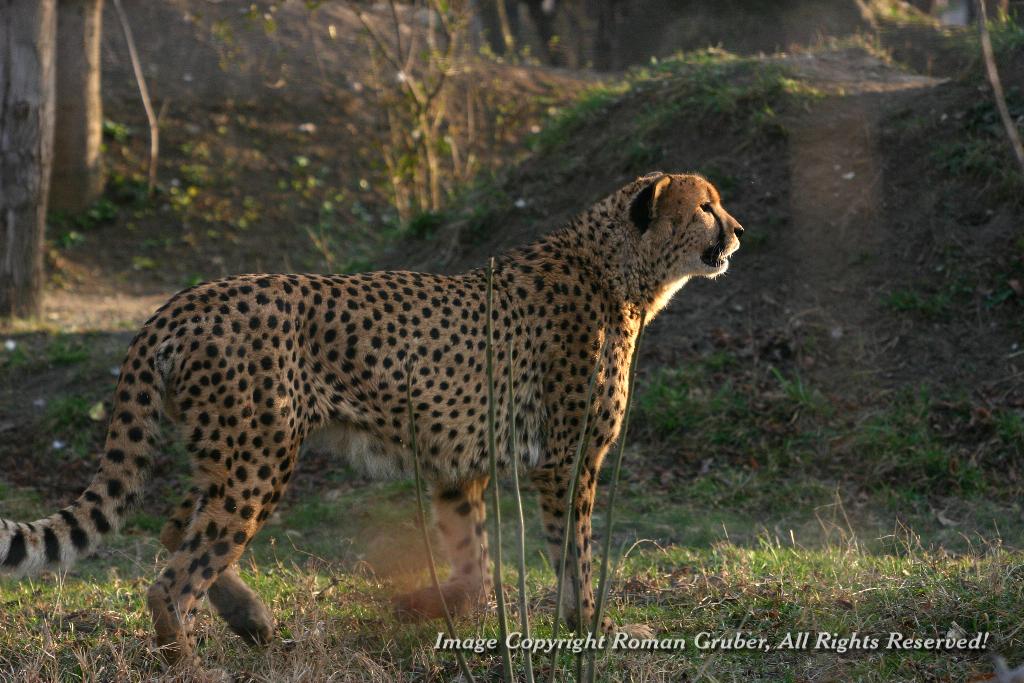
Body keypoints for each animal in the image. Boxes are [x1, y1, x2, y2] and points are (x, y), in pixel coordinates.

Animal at [0, 171, 745, 667]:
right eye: (706, 205)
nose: (738, 231)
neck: (617, 267)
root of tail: (185, 299)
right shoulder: (568, 461)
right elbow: (576, 552)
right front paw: (590, 626)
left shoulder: (458, 465)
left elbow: (475, 559)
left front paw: (459, 619)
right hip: (258, 460)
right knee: (174, 576)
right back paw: (189, 662)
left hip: (230, 452)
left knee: (176, 525)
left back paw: (251, 618)